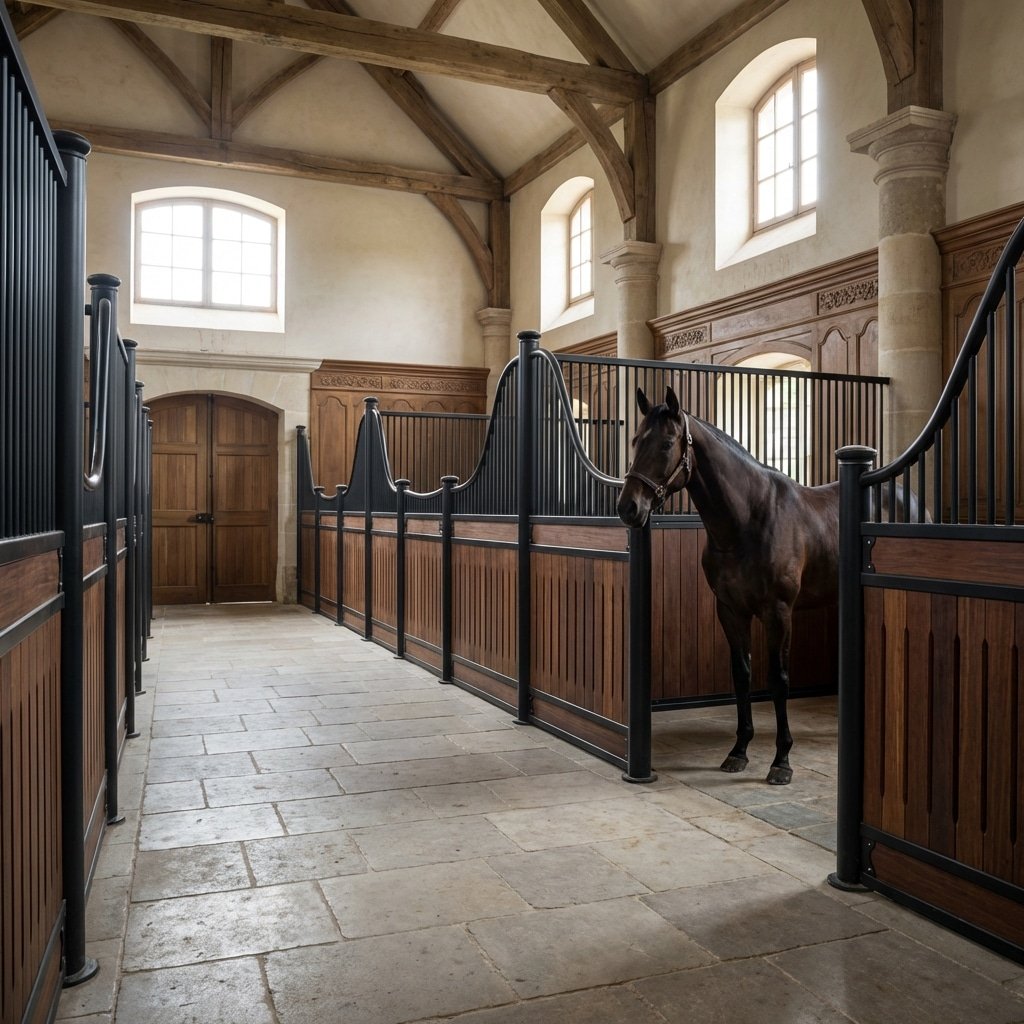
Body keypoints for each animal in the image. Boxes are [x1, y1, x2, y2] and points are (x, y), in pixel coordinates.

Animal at [616, 386, 840, 786]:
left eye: (667, 443)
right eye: (635, 440)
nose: (628, 507)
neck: (749, 518)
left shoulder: (779, 612)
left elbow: (778, 679)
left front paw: (781, 760)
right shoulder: (731, 610)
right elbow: (742, 674)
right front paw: (739, 751)